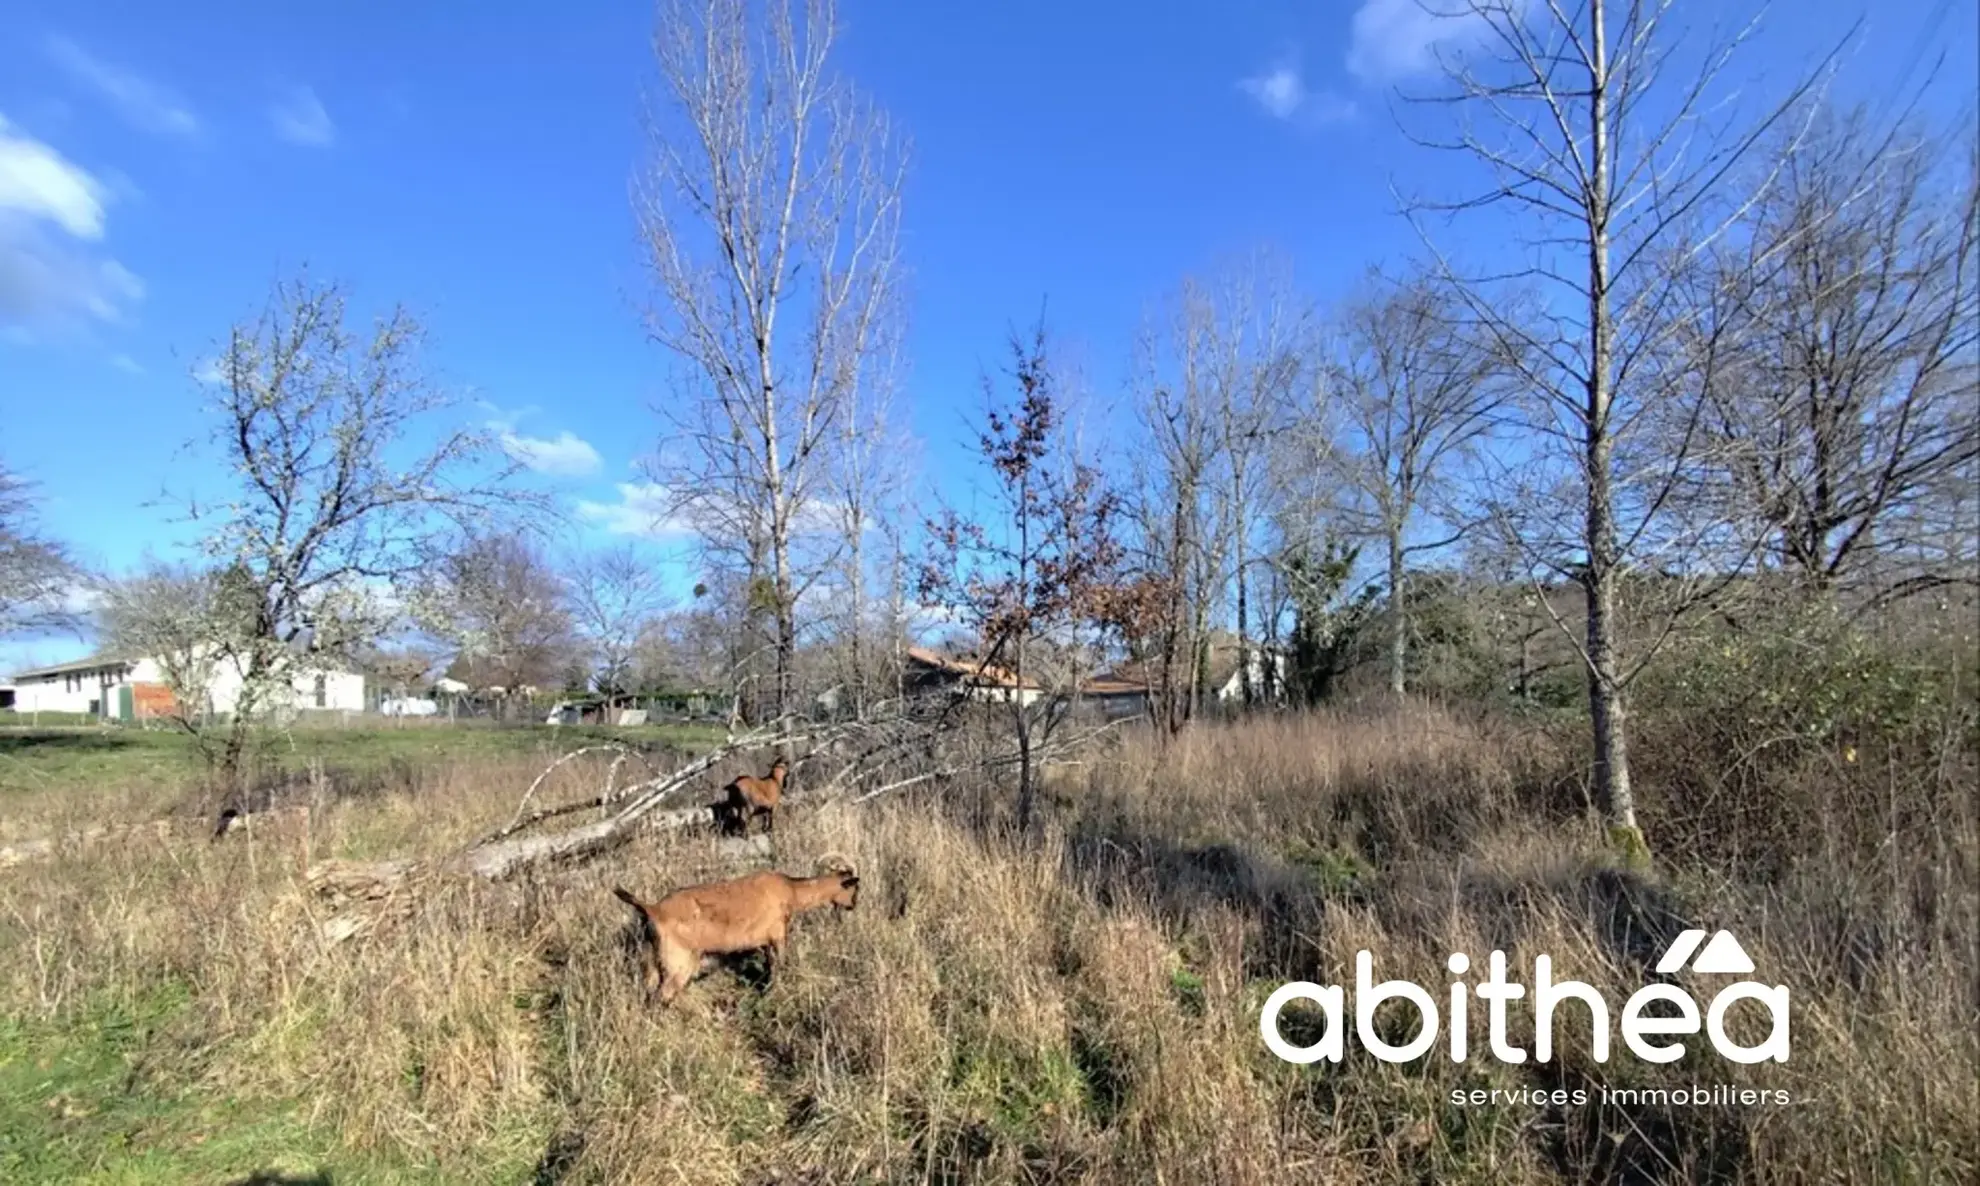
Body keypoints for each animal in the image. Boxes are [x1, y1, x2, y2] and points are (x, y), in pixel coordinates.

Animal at [609, 855, 859, 1001]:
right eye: (853, 888)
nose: (853, 906)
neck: (792, 891)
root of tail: (653, 910)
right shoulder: (778, 935)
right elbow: (779, 965)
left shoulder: (764, 942)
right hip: (678, 963)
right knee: (660, 997)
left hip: (650, 960)